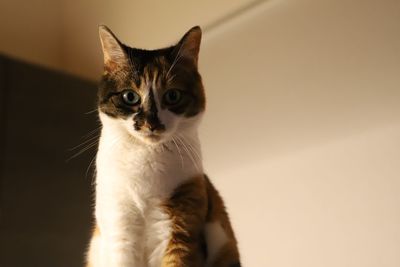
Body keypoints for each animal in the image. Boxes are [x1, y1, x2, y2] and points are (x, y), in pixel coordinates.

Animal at [85, 25, 241, 267]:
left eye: (173, 95)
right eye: (130, 96)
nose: (151, 123)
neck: (145, 159)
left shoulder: (181, 229)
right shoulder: (120, 227)